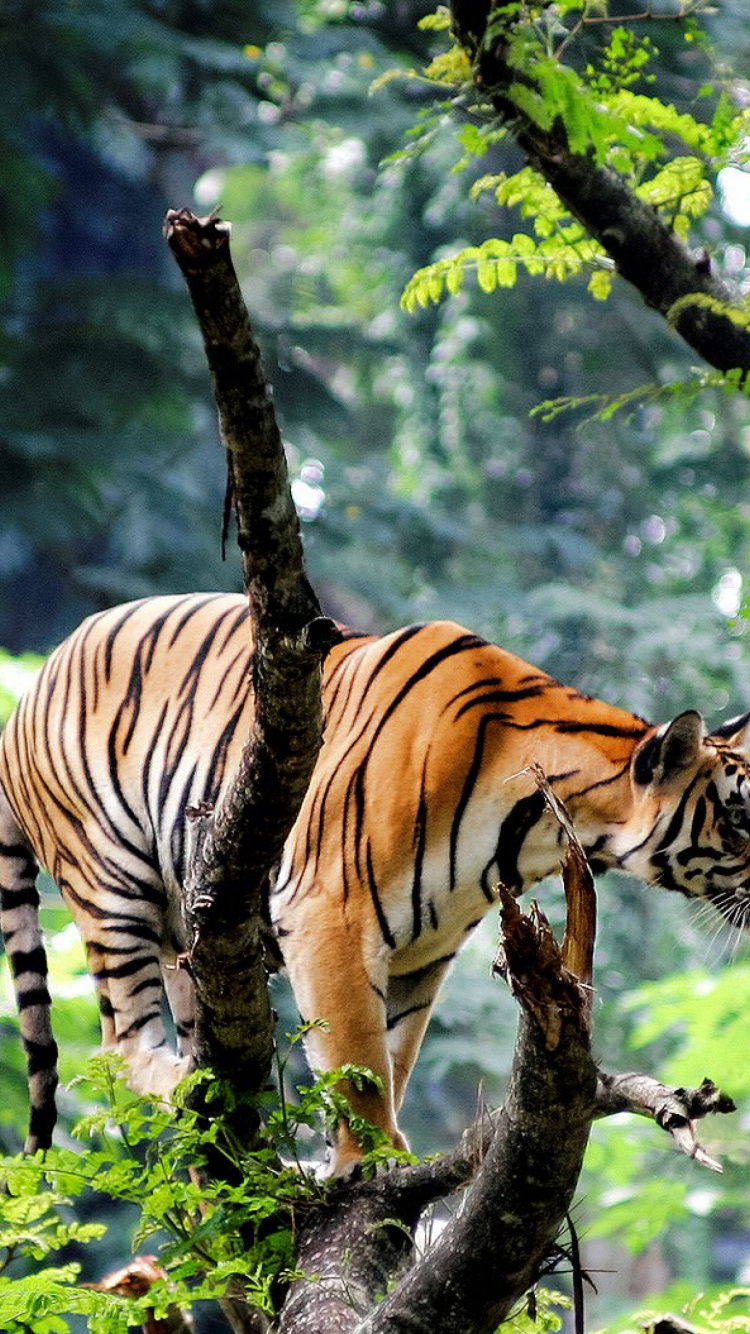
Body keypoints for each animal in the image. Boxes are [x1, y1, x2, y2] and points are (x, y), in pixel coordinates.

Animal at [1, 592, 749, 1173]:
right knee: (119, 1046)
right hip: (110, 881)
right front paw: (373, 1159)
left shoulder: (424, 949)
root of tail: (30, 687)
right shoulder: (329, 911)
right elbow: (357, 1058)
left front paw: (349, 1160)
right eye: (741, 817)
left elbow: (392, 1053)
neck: (537, 828)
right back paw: (187, 1082)